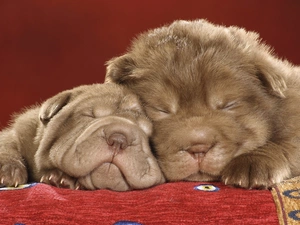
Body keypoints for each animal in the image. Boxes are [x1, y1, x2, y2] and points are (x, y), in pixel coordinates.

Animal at [0, 83, 165, 191]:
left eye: (150, 139)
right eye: (90, 116)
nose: (119, 139)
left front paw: (60, 178)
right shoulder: (20, 131)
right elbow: (7, 145)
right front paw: (9, 171)